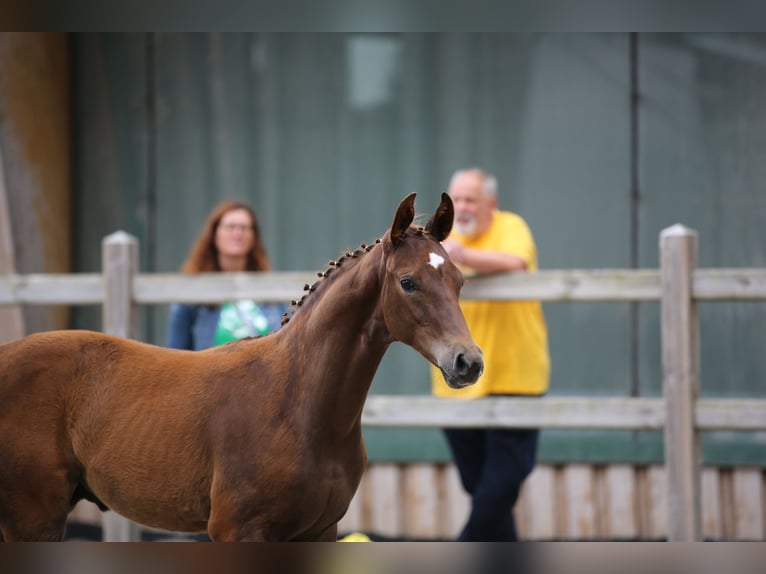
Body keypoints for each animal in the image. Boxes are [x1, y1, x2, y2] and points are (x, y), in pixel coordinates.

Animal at [0, 194, 484, 544]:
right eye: (408, 282)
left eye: (460, 281)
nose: (469, 362)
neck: (297, 406)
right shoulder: (237, 531)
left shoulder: (319, 532)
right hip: (34, 515)